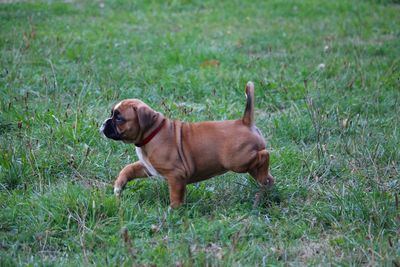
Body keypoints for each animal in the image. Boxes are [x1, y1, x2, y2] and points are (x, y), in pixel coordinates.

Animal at [101, 82, 274, 209]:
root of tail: (245, 122)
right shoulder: (147, 166)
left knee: (265, 155)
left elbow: (175, 195)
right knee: (264, 172)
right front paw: (119, 186)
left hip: (237, 161)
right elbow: (128, 168)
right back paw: (266, 185)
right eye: (112, 114)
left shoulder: (176, 175)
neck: (153, 132)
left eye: (119, 118)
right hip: (248, 166)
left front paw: (174, 211)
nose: (104, 123)